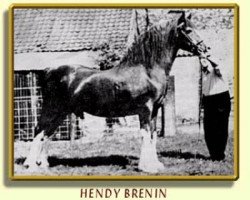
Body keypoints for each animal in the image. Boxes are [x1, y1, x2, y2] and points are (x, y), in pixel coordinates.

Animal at [23, 11, 207, 173]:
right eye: (188, 30)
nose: (205, 49)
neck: (146, 69)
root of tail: (49, 70)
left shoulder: (154, 110)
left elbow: (153, 135)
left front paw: (155, 164)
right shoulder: (145, 110)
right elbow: (145, 134)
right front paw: (147, 167)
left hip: (61, 112)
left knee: (47, 134)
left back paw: (43, 164)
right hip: (52, 109)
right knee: (39, 130)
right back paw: (31, 165)